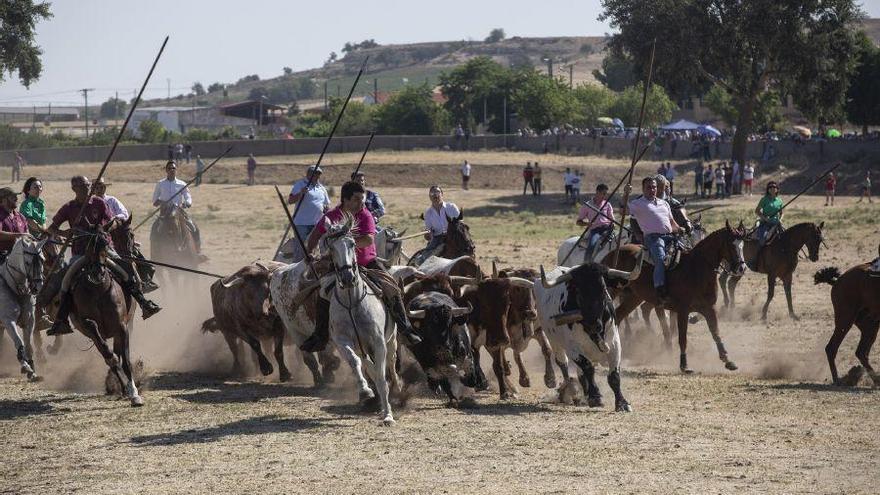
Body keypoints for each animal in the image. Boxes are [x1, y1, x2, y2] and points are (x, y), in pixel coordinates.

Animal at [0, 238, 47, 382]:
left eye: (42, 260)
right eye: (27, 262)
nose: (37, 287)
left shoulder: (29, 321)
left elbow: (28, 344)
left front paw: (32, 371)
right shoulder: (8, 321)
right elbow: (19, 342)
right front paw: (25, 366)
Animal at [608, 223, 744, 374]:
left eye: (742, 244)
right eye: (731, 244)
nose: (741, 268)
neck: (696, 268)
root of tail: (613, 253)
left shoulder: (709, 308)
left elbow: (715, 333)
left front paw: (727, 360)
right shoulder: (683, 311)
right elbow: (682, 338)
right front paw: (684, 365)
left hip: (634, 297)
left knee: (619, 316)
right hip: (612, 291)